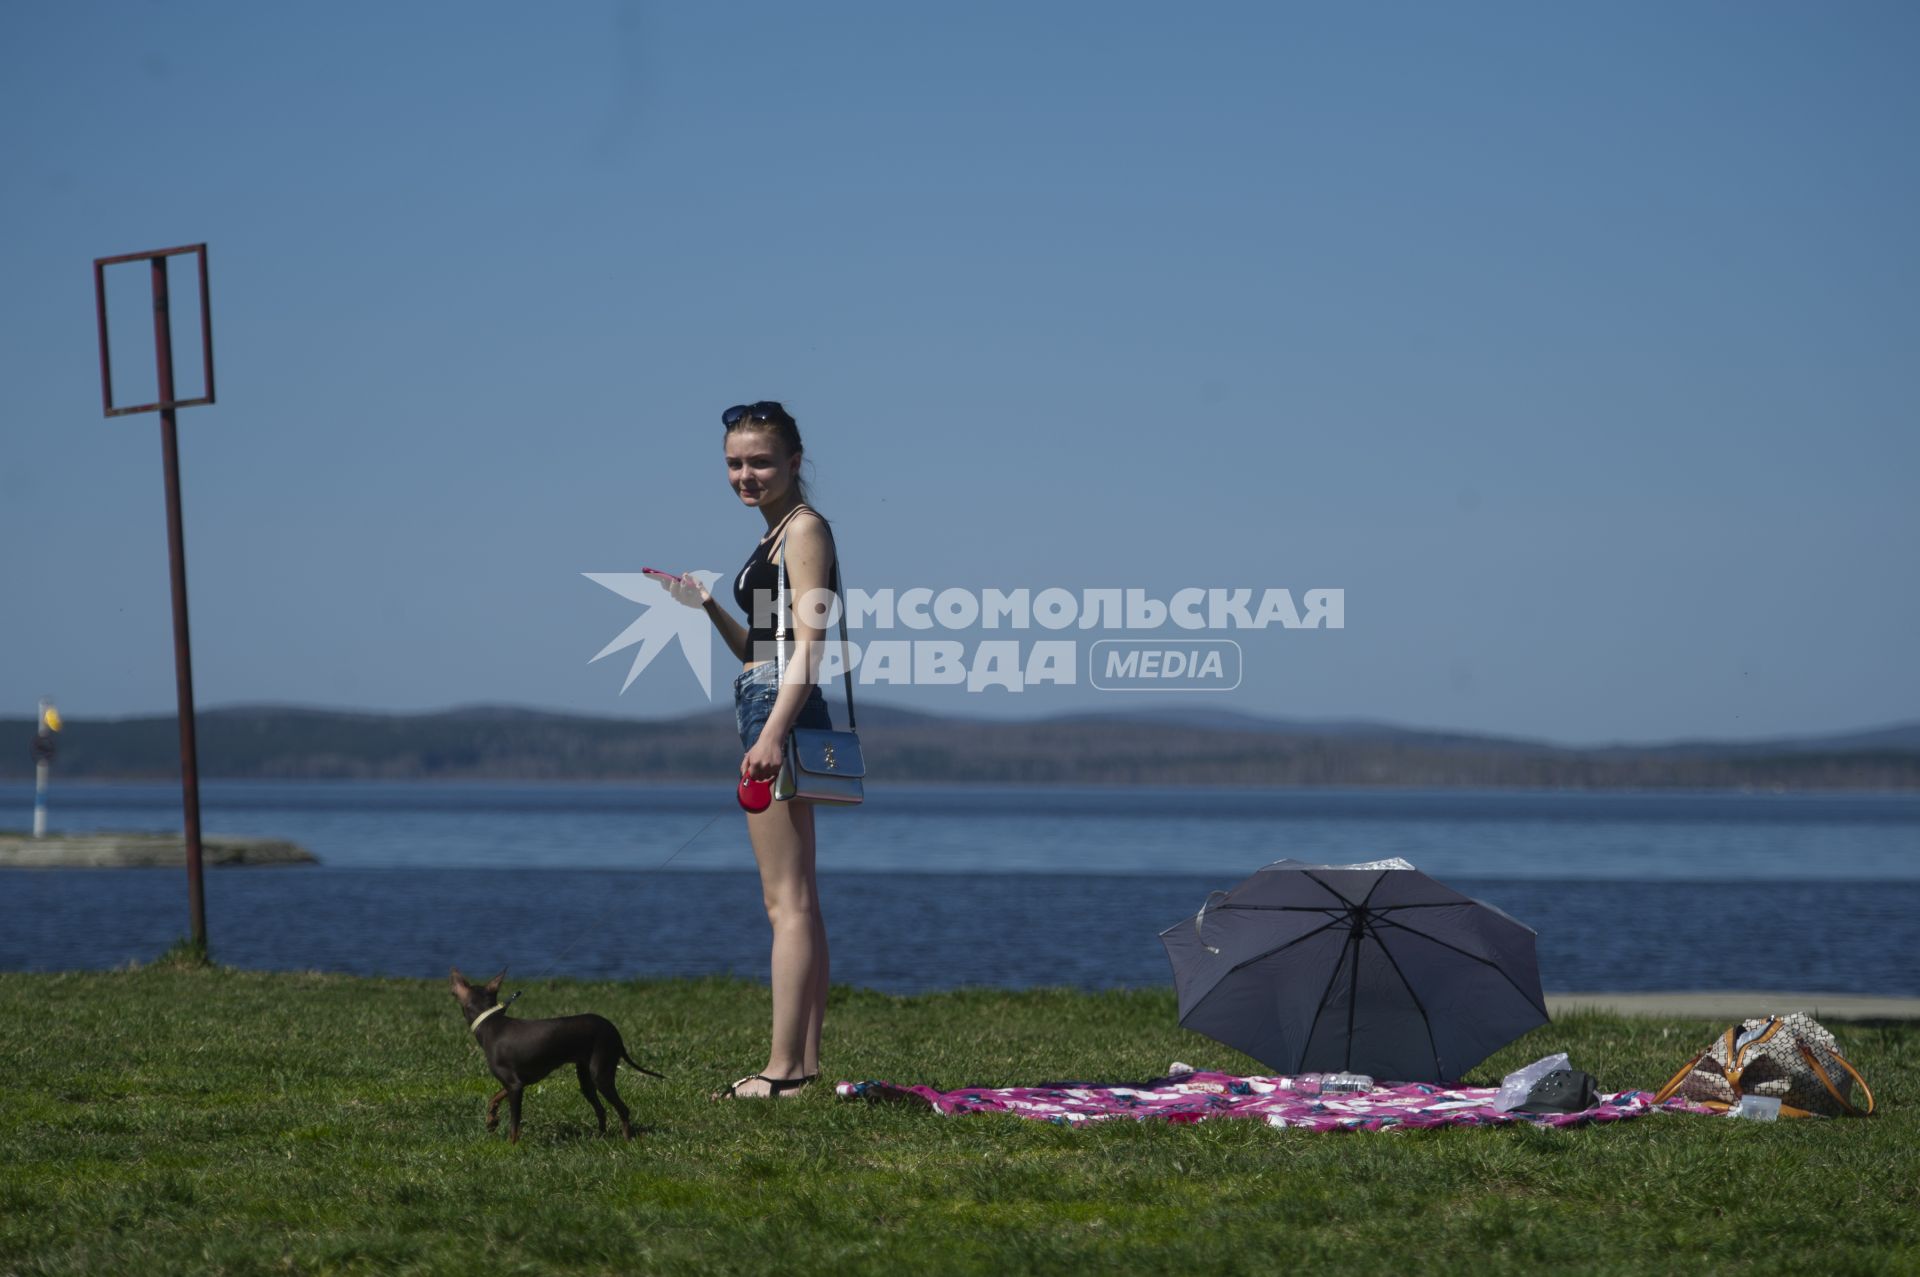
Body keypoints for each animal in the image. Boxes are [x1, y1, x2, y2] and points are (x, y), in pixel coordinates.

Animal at [447, 971, 660, 1136]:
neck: (490, 1022)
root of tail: (614, 1031)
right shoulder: (517, 1083)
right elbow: (495, 1096)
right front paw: (491, 1120)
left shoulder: (515, 1085)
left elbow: (514, 1126)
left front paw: (511, 1147)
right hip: (586, 1079)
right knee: (601, 1110)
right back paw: (600, 1137)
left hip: (601, 1075)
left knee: (623, 1109)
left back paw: (627, 1139)